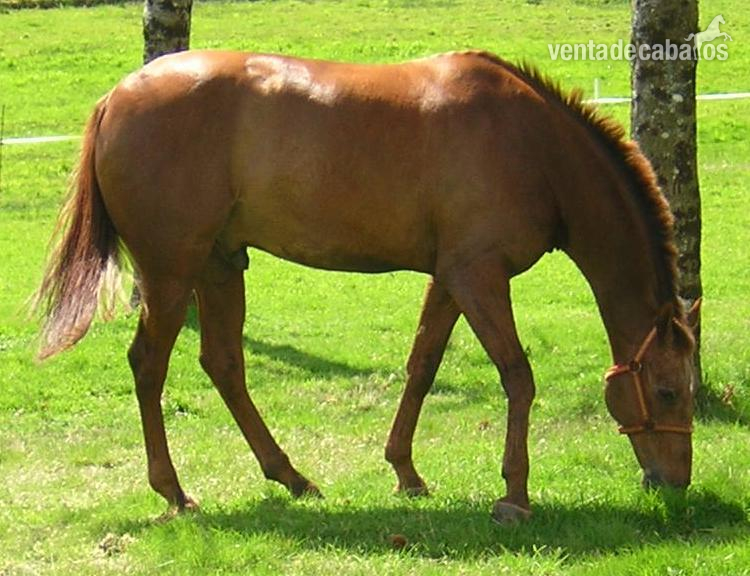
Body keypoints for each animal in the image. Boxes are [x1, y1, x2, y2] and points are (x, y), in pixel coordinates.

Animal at [35, 50, 701, 523]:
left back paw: (292, 477)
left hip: (219, 265)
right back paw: (174, 491)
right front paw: (514, 494)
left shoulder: (452, 277)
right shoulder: (479, 276)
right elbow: (517, 376)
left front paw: (405, 471)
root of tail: (116, 97)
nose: (676, 483)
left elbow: (422, 365)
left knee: (223, 364)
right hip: (172, 271)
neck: (533, 146)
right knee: (149, 364)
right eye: (668, 392)